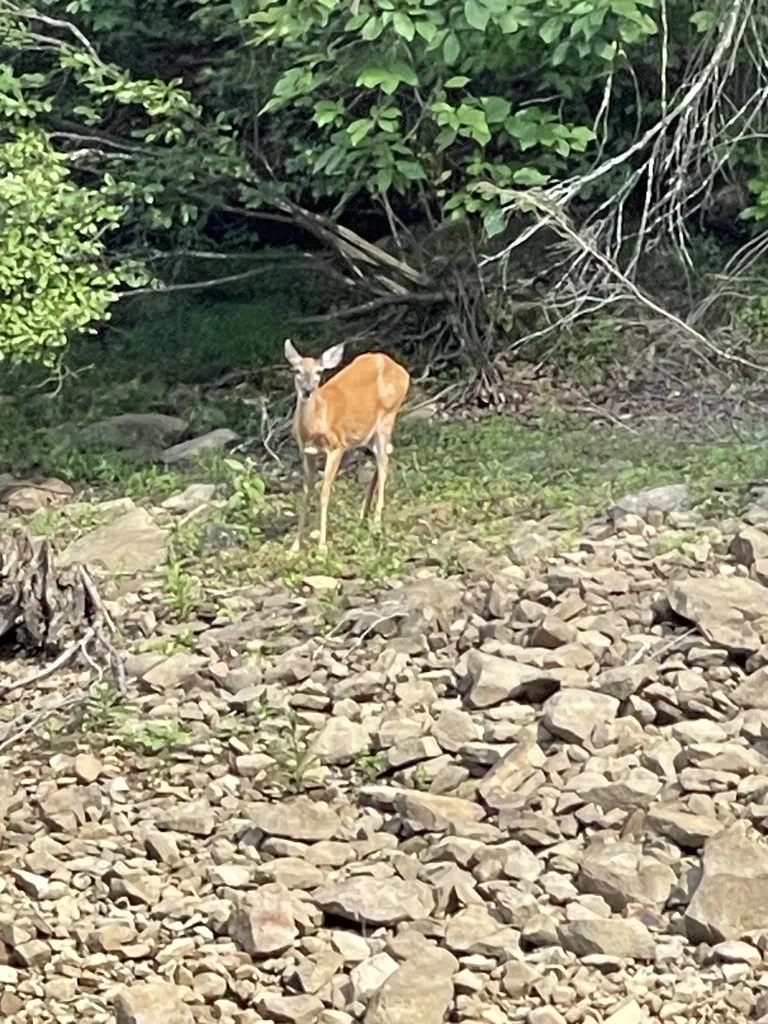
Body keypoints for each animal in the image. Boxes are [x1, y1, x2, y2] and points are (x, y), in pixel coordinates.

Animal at [284, 339, 411, 553]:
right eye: (297, 370)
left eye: (319, 372)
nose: (308, 390)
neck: (314, 426)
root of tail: (402, 371)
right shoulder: (306, 452)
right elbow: (306, 493)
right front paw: (294, 547)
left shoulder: (337, 445)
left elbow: (324, 493)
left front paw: (322, 546)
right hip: (368, 431)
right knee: (382, 458)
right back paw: (363, 516)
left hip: (387, 417)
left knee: (384, 463)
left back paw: (376, 523)